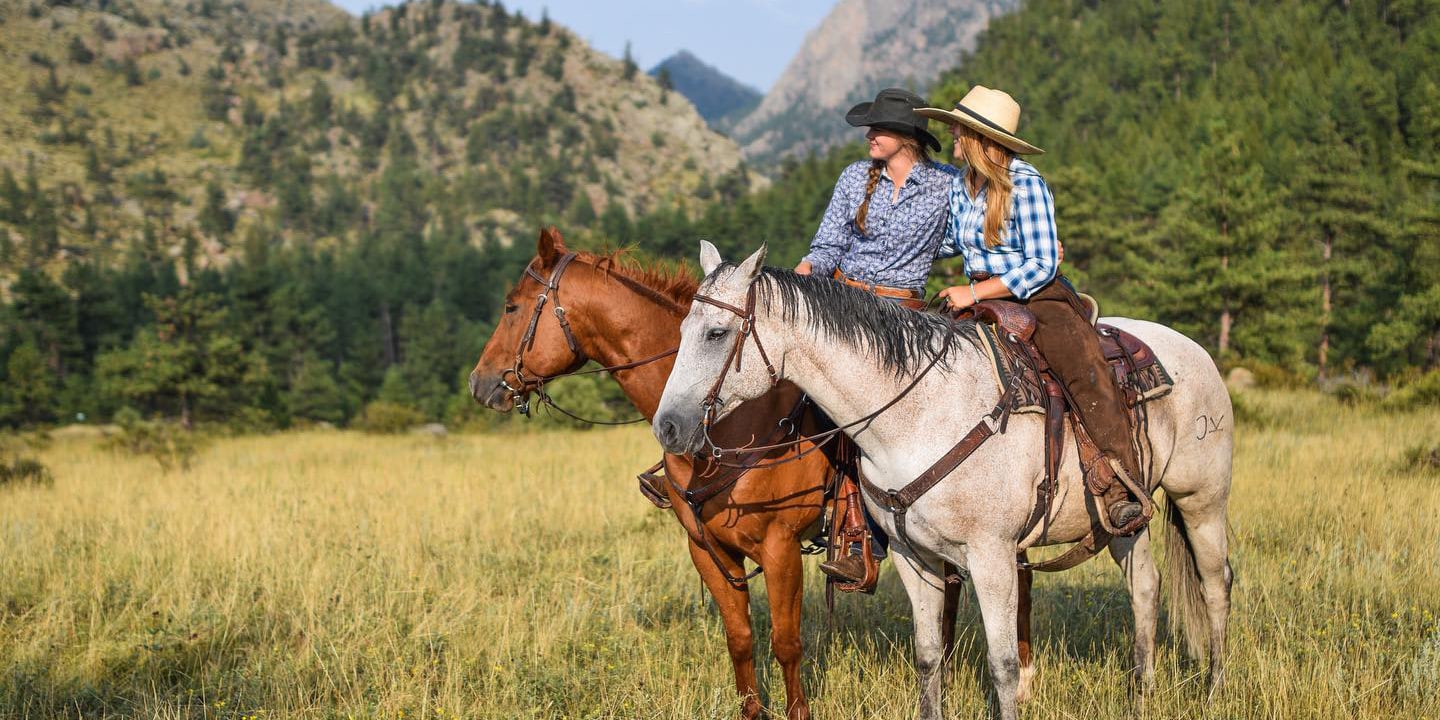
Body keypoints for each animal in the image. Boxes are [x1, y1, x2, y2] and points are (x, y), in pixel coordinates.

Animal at [466, 228, 1031, 714]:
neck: (735, 428)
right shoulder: (707, 550)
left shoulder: (781, 548)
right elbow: (739, 640)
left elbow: (786, 642)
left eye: (512, 306)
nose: (481, 383)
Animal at [659, 244, 1232, 717]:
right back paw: (1142, 694)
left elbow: (1002, 665)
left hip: (1201, 501)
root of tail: (1195, 350)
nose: (667, 426)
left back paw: (1213, 690)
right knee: (1146, 587)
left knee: (1215, 584)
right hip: (1122, 522)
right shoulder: (915, 556)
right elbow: (930, 655)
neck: (919, 412)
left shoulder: (992, 555)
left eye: (716, 333)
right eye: (680, 331)